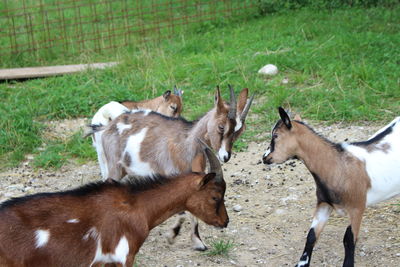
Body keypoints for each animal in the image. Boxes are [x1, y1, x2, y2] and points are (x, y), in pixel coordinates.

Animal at [90, 85, 253, 251]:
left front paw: (198, 242)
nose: (225, 156)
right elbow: (183, 212)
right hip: (113, 166)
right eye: (221, 126)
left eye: (239, 131)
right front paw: (172, 235)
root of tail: (109, 123)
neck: (186, 143)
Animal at [262, 107, 400, 267]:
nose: (265, 158)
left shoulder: (357, 207)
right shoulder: (324, 204)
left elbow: (349, 239)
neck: (337, 165)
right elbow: (311, 235)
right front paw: (302, 263)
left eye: (275, 135)